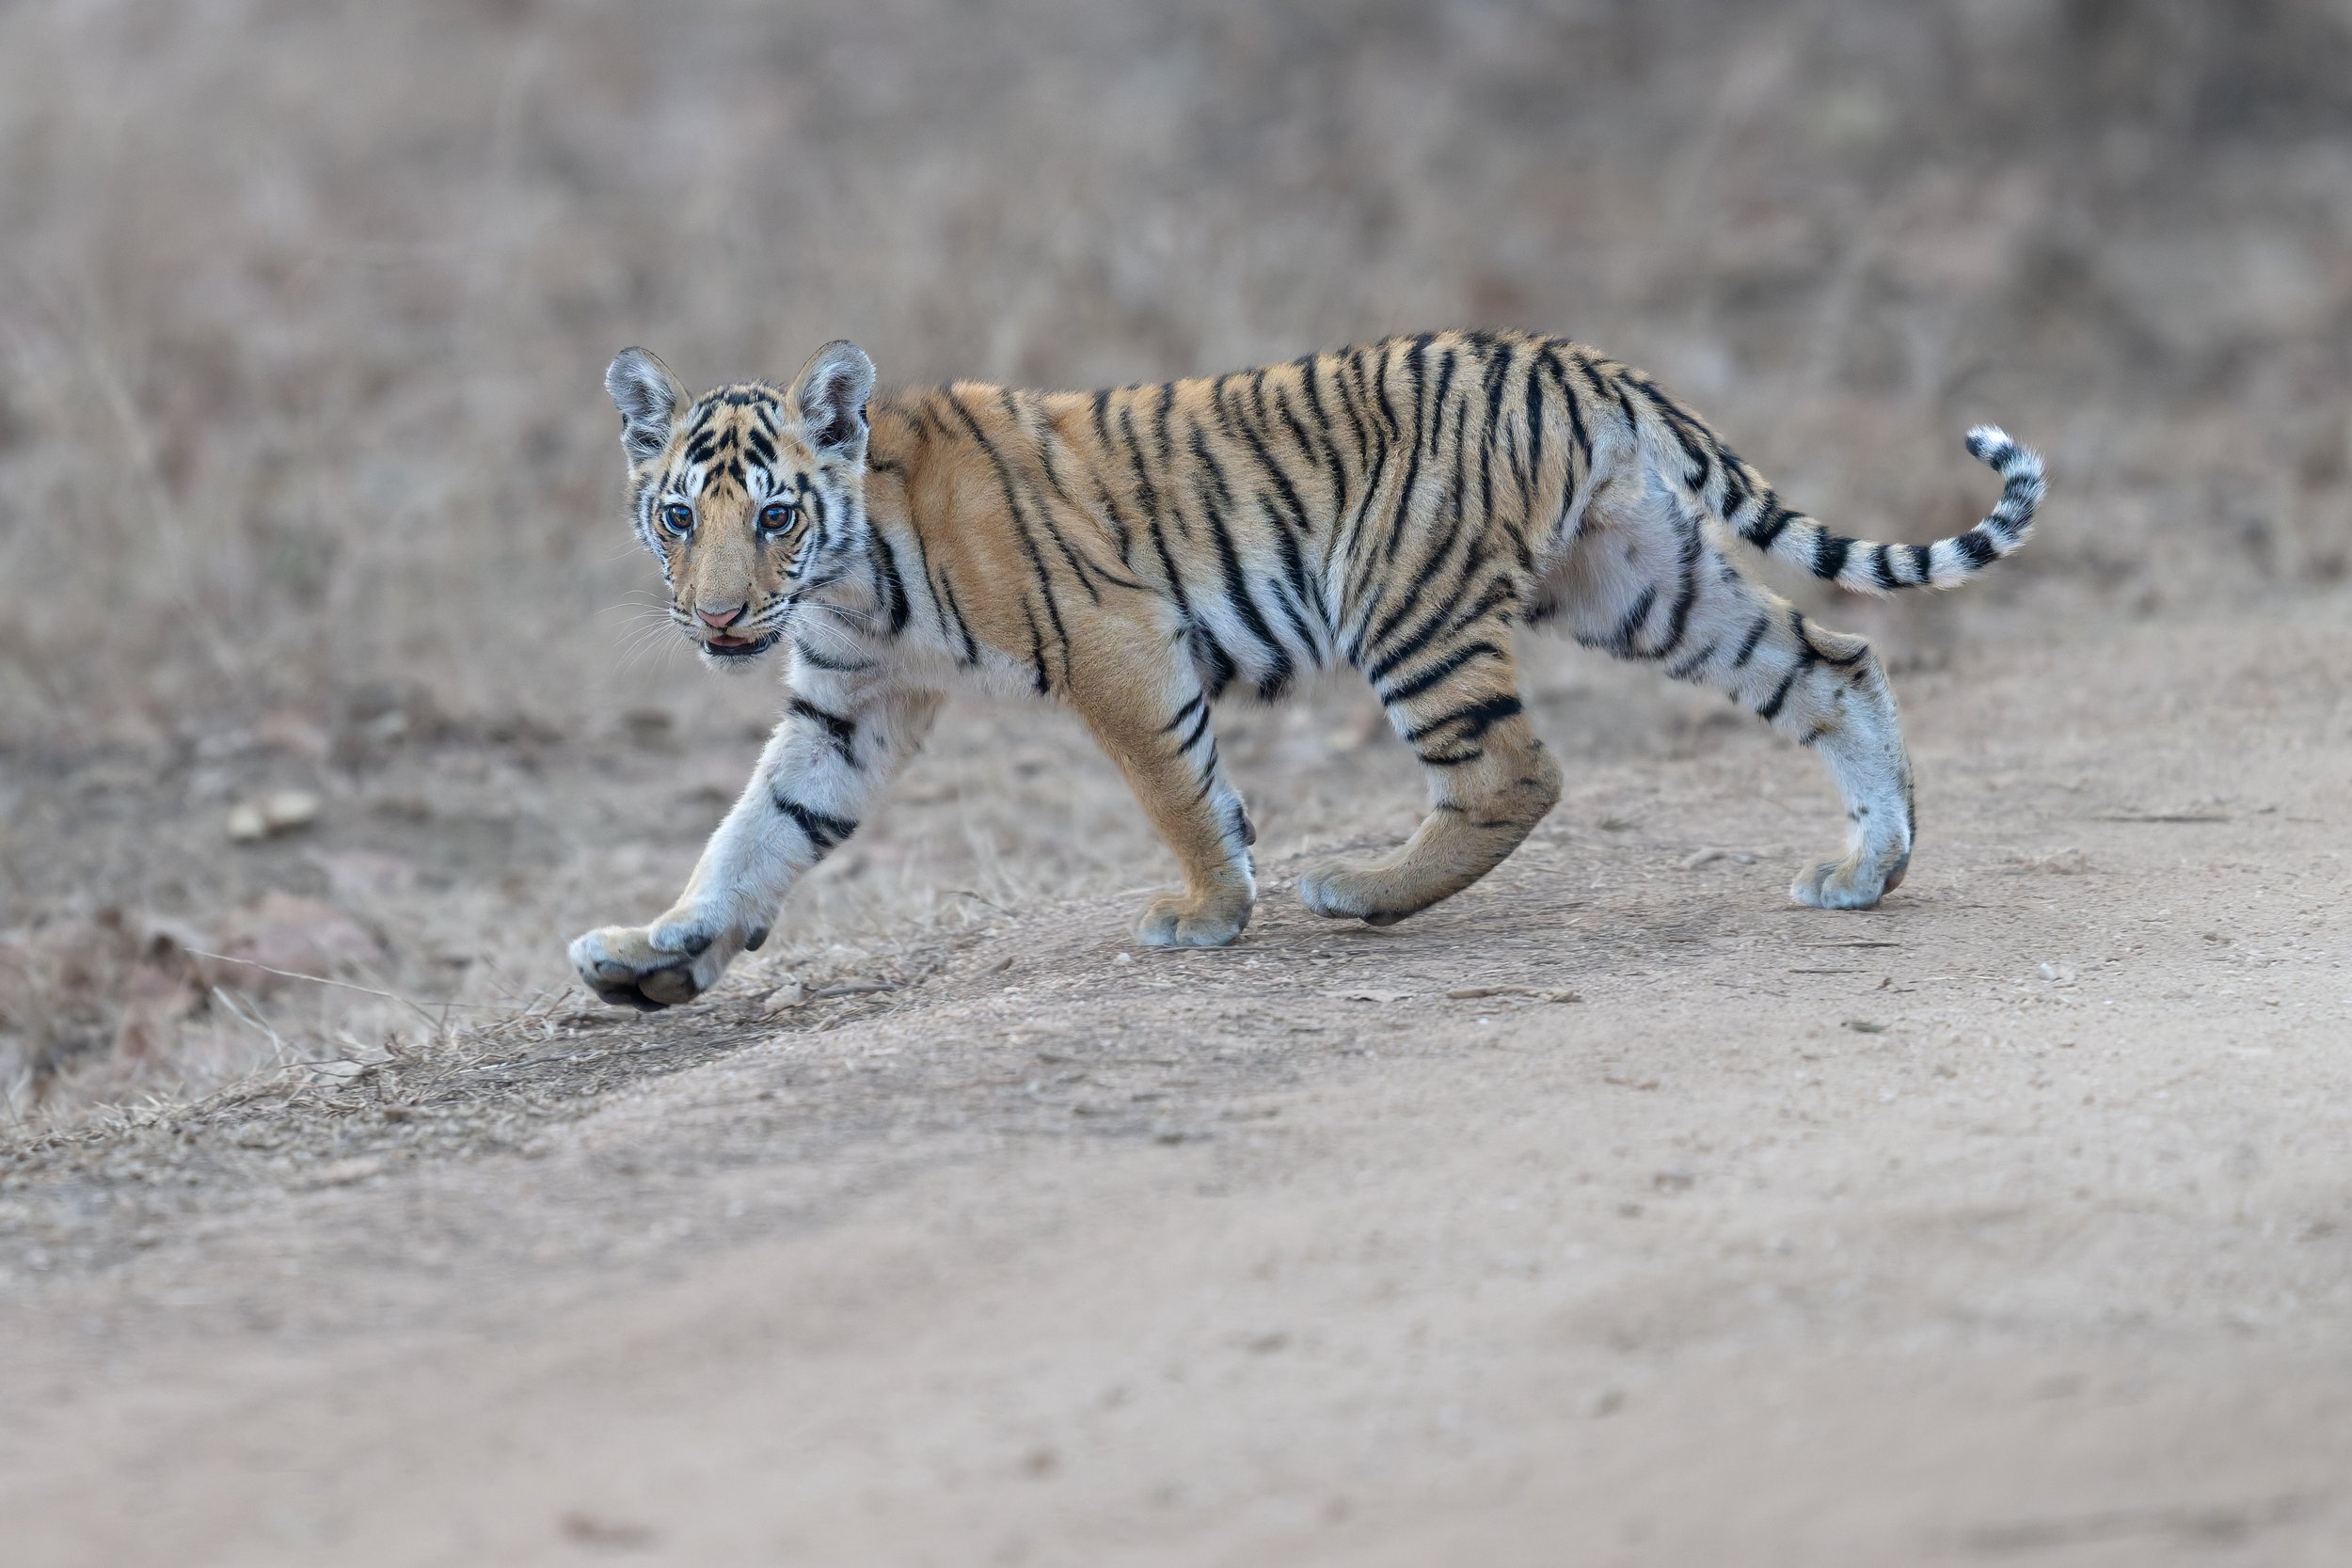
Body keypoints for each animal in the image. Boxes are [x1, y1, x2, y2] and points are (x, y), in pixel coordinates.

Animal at [569, 331, 2043, 1011]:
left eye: (773, 513)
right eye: (677, 515)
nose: (716, 619)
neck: (849, 571)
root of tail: (1574, 359)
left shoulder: (1116, 645)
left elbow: (1176, 787)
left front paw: (1210, 910)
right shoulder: (844, 708)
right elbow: (752, 835)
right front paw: (655, 951)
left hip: (1410, 601)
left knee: (1511, 770)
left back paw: (1361, 891)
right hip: (1643, 583)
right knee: (1832, 660)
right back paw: (1867, 867)